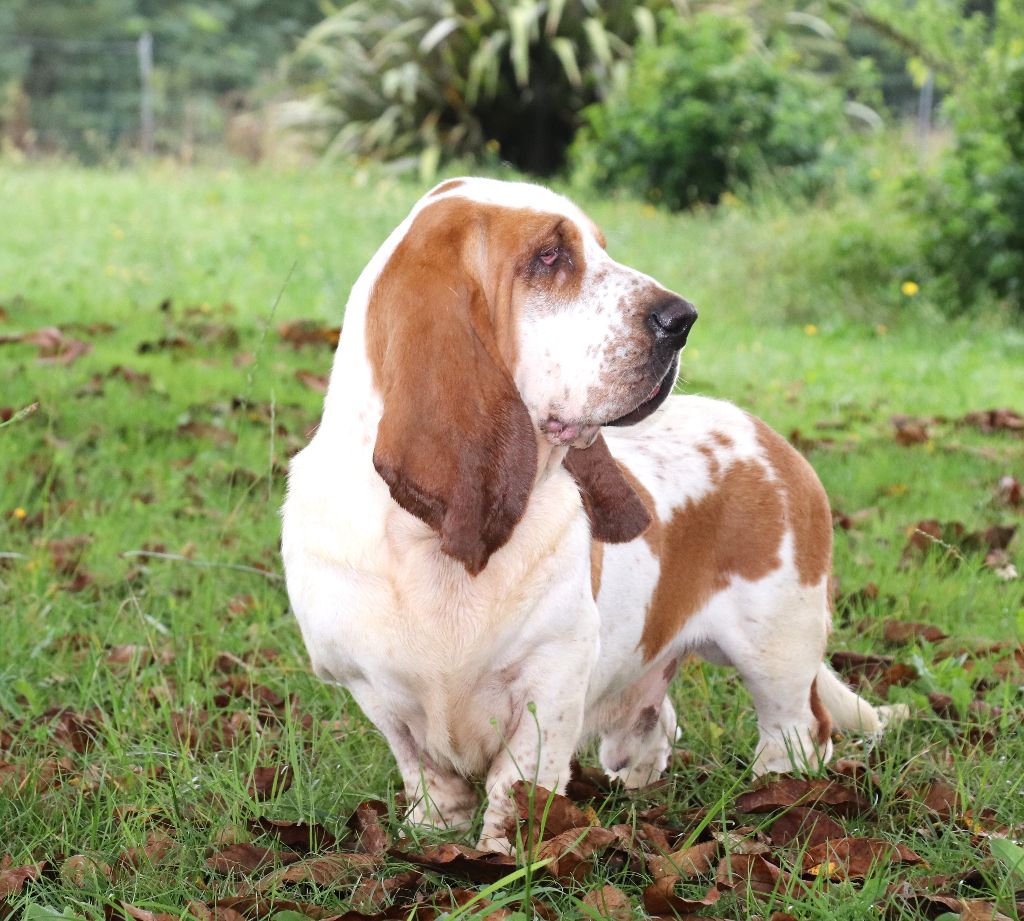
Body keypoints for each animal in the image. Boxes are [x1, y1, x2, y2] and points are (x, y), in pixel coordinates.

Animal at [282, 176, 905, 852]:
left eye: (599, 247)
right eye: (549, 257)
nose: (682, 320)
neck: (430, 549)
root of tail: (770, 437)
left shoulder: (549, 683)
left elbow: (514, 788)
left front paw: (501, 858)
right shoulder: (376, 693)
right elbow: (429, 778)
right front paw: (431, 840)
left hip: (777, 646)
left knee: (799, 730)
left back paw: (774, 798)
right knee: (659, 723)